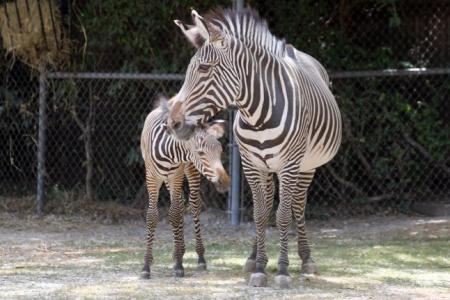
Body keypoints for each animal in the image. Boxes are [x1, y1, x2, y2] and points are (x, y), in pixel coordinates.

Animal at [168, 7, 342, 288]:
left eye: (204, 68)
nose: (173, 123)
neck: (258, 115)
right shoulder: (250, 164)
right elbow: (260, 214)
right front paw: (260, 266)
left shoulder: (289, 164)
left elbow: (283, 215)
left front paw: (282, 270)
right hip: (266, 166)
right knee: (268, 202)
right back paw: (253, 256)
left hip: (307, 165)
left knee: (298, 205)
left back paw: (306, 259)